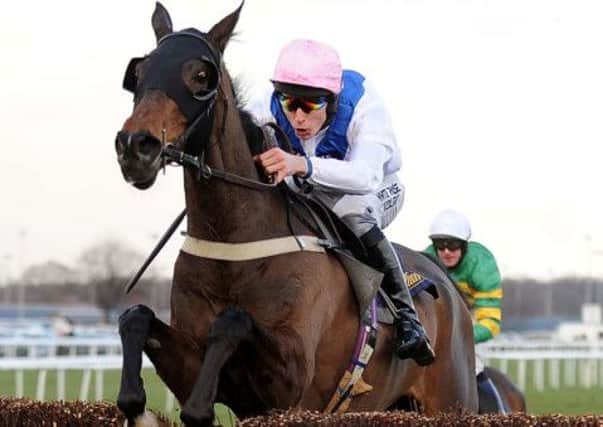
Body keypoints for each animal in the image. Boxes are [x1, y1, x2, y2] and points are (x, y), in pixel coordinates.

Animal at [114, 4, 476, 427]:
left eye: (200, 76)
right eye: (140, 72)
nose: (135, 146)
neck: (234, 243)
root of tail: (448, 286)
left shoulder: (293, 384)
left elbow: (232, 321)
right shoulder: (194, 364)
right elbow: (135, 316)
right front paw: (136, 402)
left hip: (454, 400)